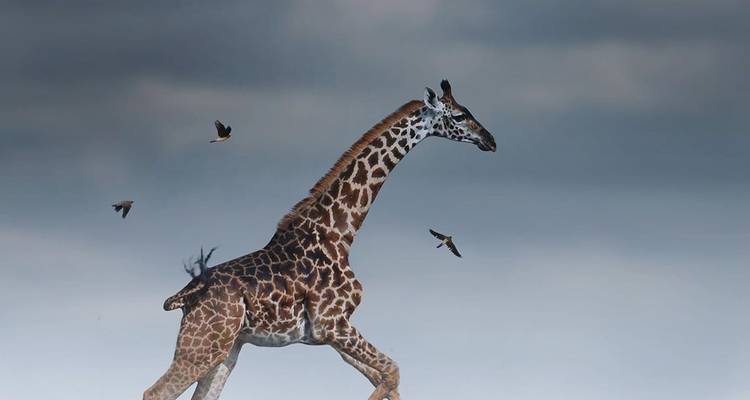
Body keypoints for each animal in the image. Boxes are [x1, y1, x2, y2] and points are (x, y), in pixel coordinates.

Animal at [143, 80, 496, 400]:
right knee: (155, 392)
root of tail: (184, 296)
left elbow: (387, 377)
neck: (339, 232)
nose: (490, 140)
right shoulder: (333, 324)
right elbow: (392, 372)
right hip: (202, 346)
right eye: (460, 115)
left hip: (226, 348)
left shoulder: (329, 333)